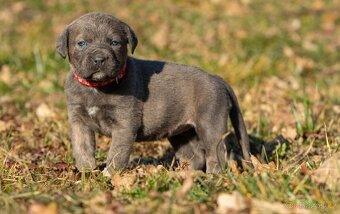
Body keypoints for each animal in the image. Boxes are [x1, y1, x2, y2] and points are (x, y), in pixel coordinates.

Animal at [55, 12, 251, 174]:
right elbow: (82, 148)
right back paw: (182, 175)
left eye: (114, 42)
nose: (99, 59)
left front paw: (108, 175)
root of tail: (217, 78)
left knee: (216, 155)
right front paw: (86, 173)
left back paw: (212, 177)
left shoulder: (124, 124)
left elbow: (117, 153)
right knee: (195, 156)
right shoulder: (78, 121)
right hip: (181, 133)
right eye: (82, 43)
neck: (97, 87)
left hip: (211, 124)